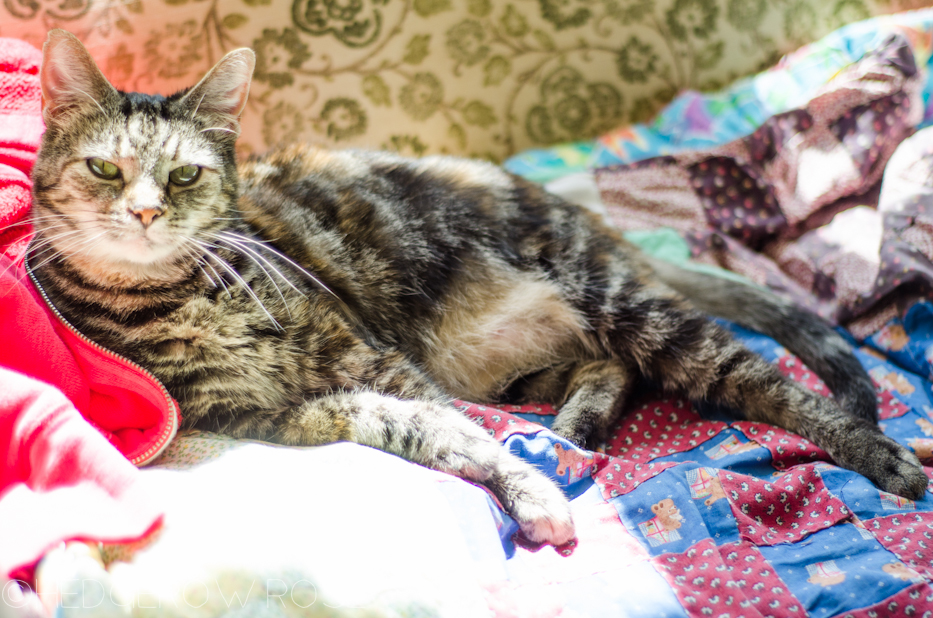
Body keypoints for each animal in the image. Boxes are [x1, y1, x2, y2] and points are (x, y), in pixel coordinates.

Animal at [25, 30, 928, 544]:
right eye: (105, 169)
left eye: (183, 176)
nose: (145, 212)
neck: (174, 300)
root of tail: (573, 210)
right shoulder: (284, 412)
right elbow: (428, 433)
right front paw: (525, 484)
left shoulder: (373, 358)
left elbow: (463, 435)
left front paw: (526, 490)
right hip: (506, 360)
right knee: (611, 369)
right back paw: (575, 427)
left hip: (610, 300)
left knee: (760, 378)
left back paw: (878, 453)